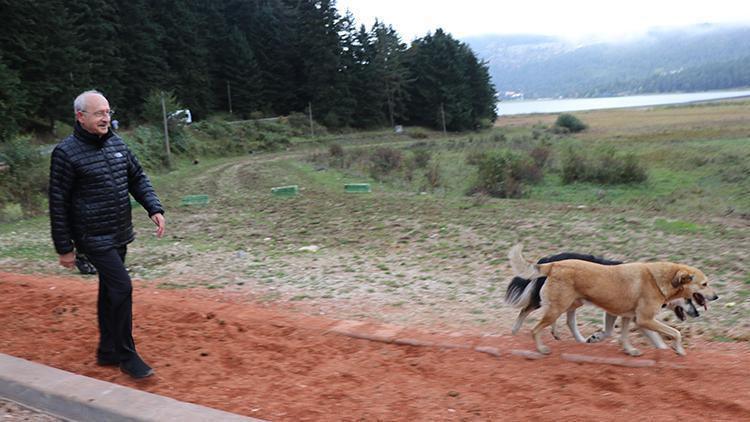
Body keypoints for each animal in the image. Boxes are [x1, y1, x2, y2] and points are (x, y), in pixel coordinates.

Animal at [508, 244, 720, 356]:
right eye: (704, 284)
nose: (716, 296)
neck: (659, 279)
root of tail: (553, 264)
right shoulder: (644, 319)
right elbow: (675, 332)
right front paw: (679, 350)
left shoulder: (626, 316)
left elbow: (622, 335)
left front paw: (629, 350)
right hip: (556, 305)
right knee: (534, 325)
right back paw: (539, 347)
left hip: (570, 302)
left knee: (564, 319)